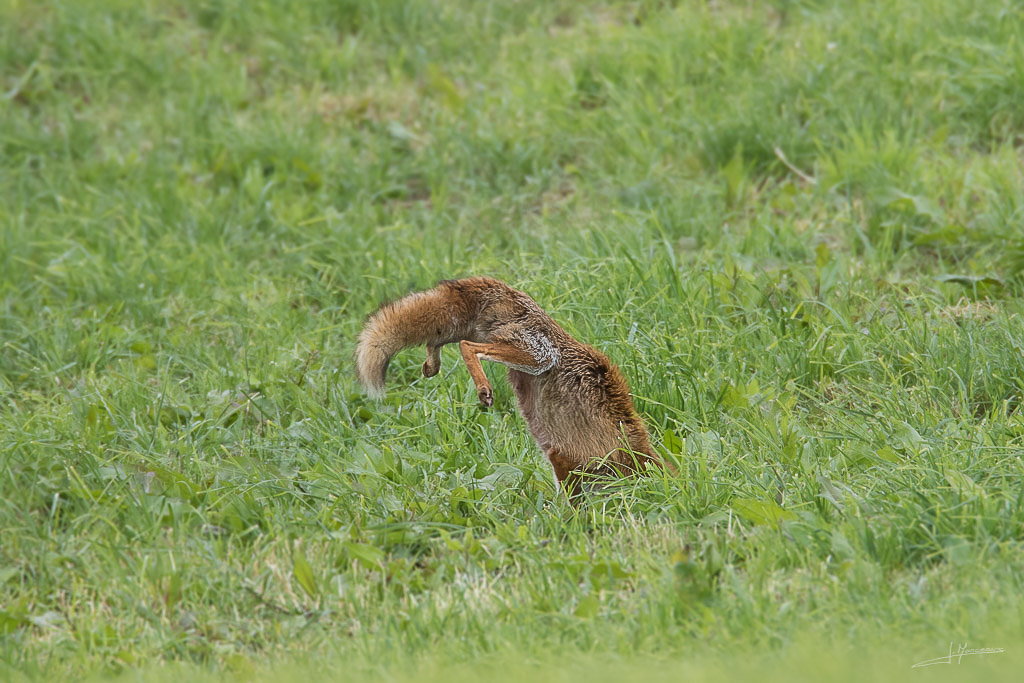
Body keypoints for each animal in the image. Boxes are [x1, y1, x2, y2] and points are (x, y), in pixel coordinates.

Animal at [355, 276, 674, 499]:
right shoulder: (564, 459)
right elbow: (572, 503)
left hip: (482, 335)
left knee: (439, 340)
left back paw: (432, 365)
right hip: (539, 356)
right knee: (467, 347)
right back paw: (482, 389)